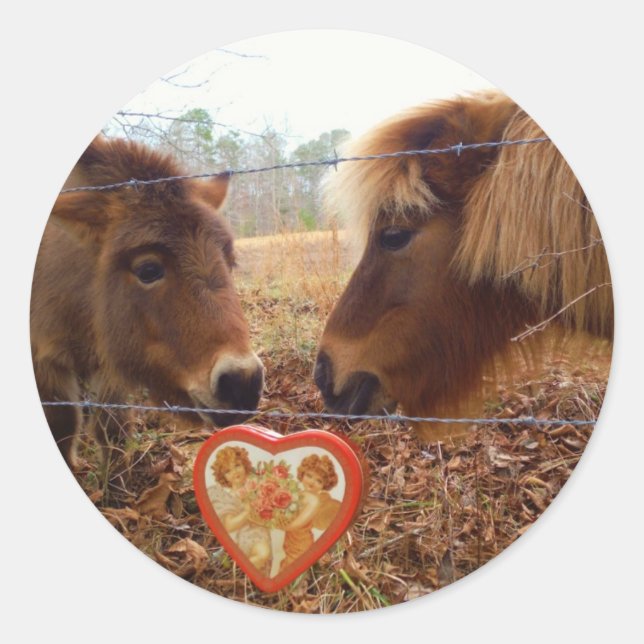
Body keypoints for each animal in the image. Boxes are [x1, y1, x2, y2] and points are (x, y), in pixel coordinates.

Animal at [31, 135, 264, 467]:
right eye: (148, 270)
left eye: (230, 262)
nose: (242, 383)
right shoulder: (45, 360)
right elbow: (62, 427)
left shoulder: (110, 361)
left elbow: (112, 426)